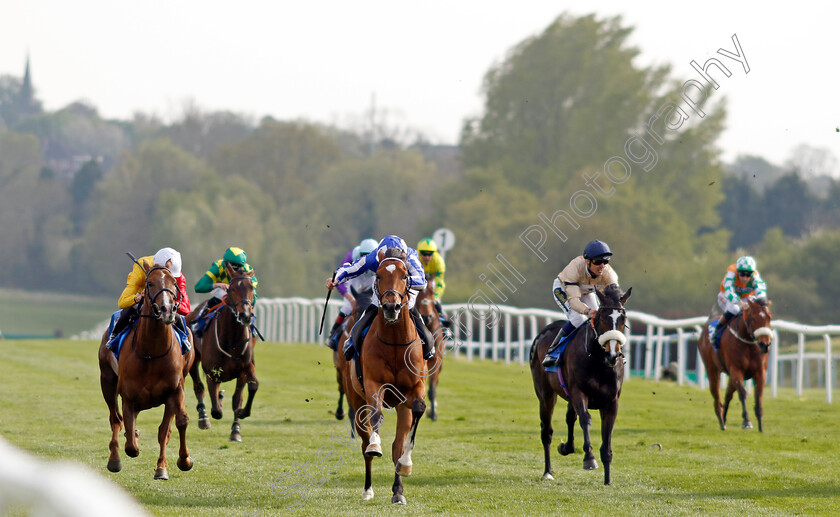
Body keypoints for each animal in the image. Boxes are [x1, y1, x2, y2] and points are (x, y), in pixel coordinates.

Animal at [98, 264, 195, 478]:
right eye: (149, 283)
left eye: (174, 283)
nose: (168, 309)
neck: (152, 352)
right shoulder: (128, 396)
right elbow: (131, 445)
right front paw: (131, 439)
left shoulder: (175, 390)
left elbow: (175, 425)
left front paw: (177, 463)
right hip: (107, 380)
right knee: (115, 419)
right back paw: (114, 459)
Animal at [188, 272, 260, 442]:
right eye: (232, 288)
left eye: (251, 288)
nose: (245, 315)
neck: (231, 341)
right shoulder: (212, 372)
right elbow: (216, 411)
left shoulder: (245, 369)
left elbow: (245, 393)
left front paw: (237, 426)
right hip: (193, 361)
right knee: (199, 388)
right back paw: (203, 418)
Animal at [342, 246, 430, 504]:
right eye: (379, 276)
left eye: (405, 276)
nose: (392, 307)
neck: (395, 343)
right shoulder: (374, 384)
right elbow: (376, 416)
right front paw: (375, 445)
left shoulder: (414, 389)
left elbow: (419, 409)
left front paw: (406, 465)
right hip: (355, 399)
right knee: (365, 444)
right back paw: (368, 487)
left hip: (401, 406)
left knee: (396, 446)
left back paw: (398, 491)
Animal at [532, 284, 632, 486]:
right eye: (602, 318)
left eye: (623, 319)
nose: (612, 355)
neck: (599, 362)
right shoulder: (579, 392)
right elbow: (586, 418)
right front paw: (589, 459)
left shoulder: (611, 402)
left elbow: (607, 437)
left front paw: (607, 479)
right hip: (546, 395)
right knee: (547, 431)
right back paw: (547, 472)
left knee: (570, 418)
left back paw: (566, 447)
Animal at [700, 296, 772, 430]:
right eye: (753, 318)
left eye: (769, 317)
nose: (765, 344)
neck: (748, 343)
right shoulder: (736, 370)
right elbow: (743, 394)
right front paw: (747, 421)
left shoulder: (760, 372)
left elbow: (758, 395)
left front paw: (760, 425)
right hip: (712, 371)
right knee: (716, 396)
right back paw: (721, 422)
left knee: (728, 394)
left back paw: (724, 418)